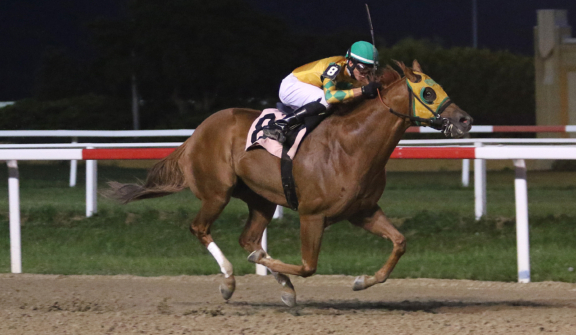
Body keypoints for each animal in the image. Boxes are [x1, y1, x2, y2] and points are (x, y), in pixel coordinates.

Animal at [108, 60, 472, 308]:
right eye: (428, 92)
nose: (464, 119)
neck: (352, 145)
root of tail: (197, 133)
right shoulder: (312, 215)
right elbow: (309, 266)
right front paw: (263, 265)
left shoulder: (363, 211)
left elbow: (399, 242)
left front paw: (361, 281)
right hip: (216, 193)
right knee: (201, 228)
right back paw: (229, 281)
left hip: (261, 199)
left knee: (248, 237)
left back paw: (280, 285)